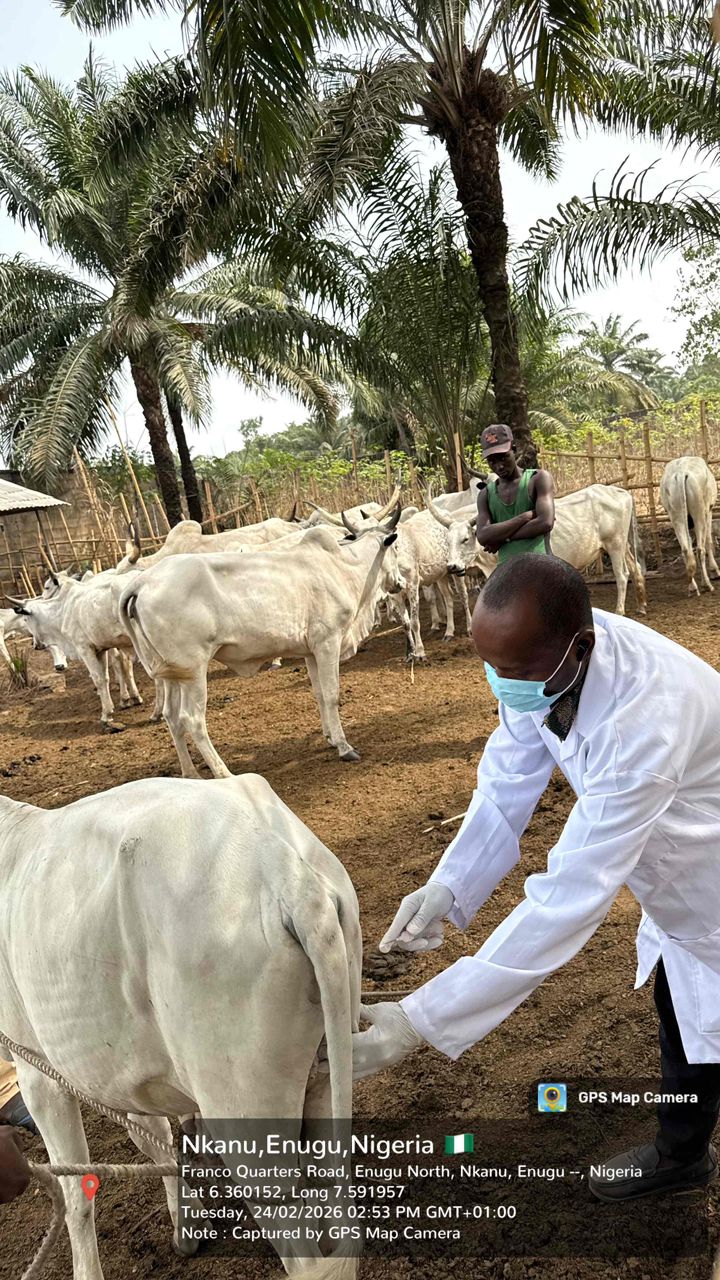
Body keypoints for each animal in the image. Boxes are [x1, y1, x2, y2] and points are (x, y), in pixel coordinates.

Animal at [0, 773, 360, 1279]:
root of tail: (288, 874)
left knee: (302, 1250)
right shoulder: (127, 1069)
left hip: (241, 1108)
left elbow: (76, 1194)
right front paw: (186, 1227)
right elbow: (155, 1139)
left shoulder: (35, 1068)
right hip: (325, 1073)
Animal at [118, 511, 405, 775]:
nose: (400, 582)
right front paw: (344, 747)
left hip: (172, 673)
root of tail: (142, 581)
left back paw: (190, 773)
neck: (343, 568)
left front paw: (330, 738)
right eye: (396, 547)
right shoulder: (328, 643)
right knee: (192, 719)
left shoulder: (311, 652)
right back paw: (222, 772)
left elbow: (320, 694)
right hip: (194, 672)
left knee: (171, 717)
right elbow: (333, 694)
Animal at [431, 483, 647, 616]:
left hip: (614, 544)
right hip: (623, 545)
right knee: (635, 568)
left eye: (465, 539)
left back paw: (620, 611)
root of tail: (620, 491)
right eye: (447, 541)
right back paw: (641, 606)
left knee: (622, 575)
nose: (452, 566)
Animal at [659, 456, 720, 595]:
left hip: (676, 516)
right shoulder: (709, 511)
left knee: (686, 550)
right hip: (699, 513)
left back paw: (693, 587)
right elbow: (709, 541)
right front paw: (714, 570)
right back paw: (707, 585)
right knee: (700, 549)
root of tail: (681, 473)